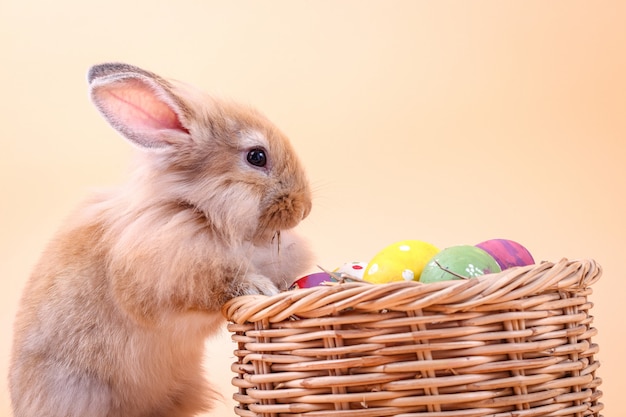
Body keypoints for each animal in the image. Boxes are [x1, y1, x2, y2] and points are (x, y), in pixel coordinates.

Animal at [8, 62, 312, 416]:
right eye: (257, 156)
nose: (305, 208)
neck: (198, 210)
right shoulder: (181, 272)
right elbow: (225, 283)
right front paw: (262, 289)